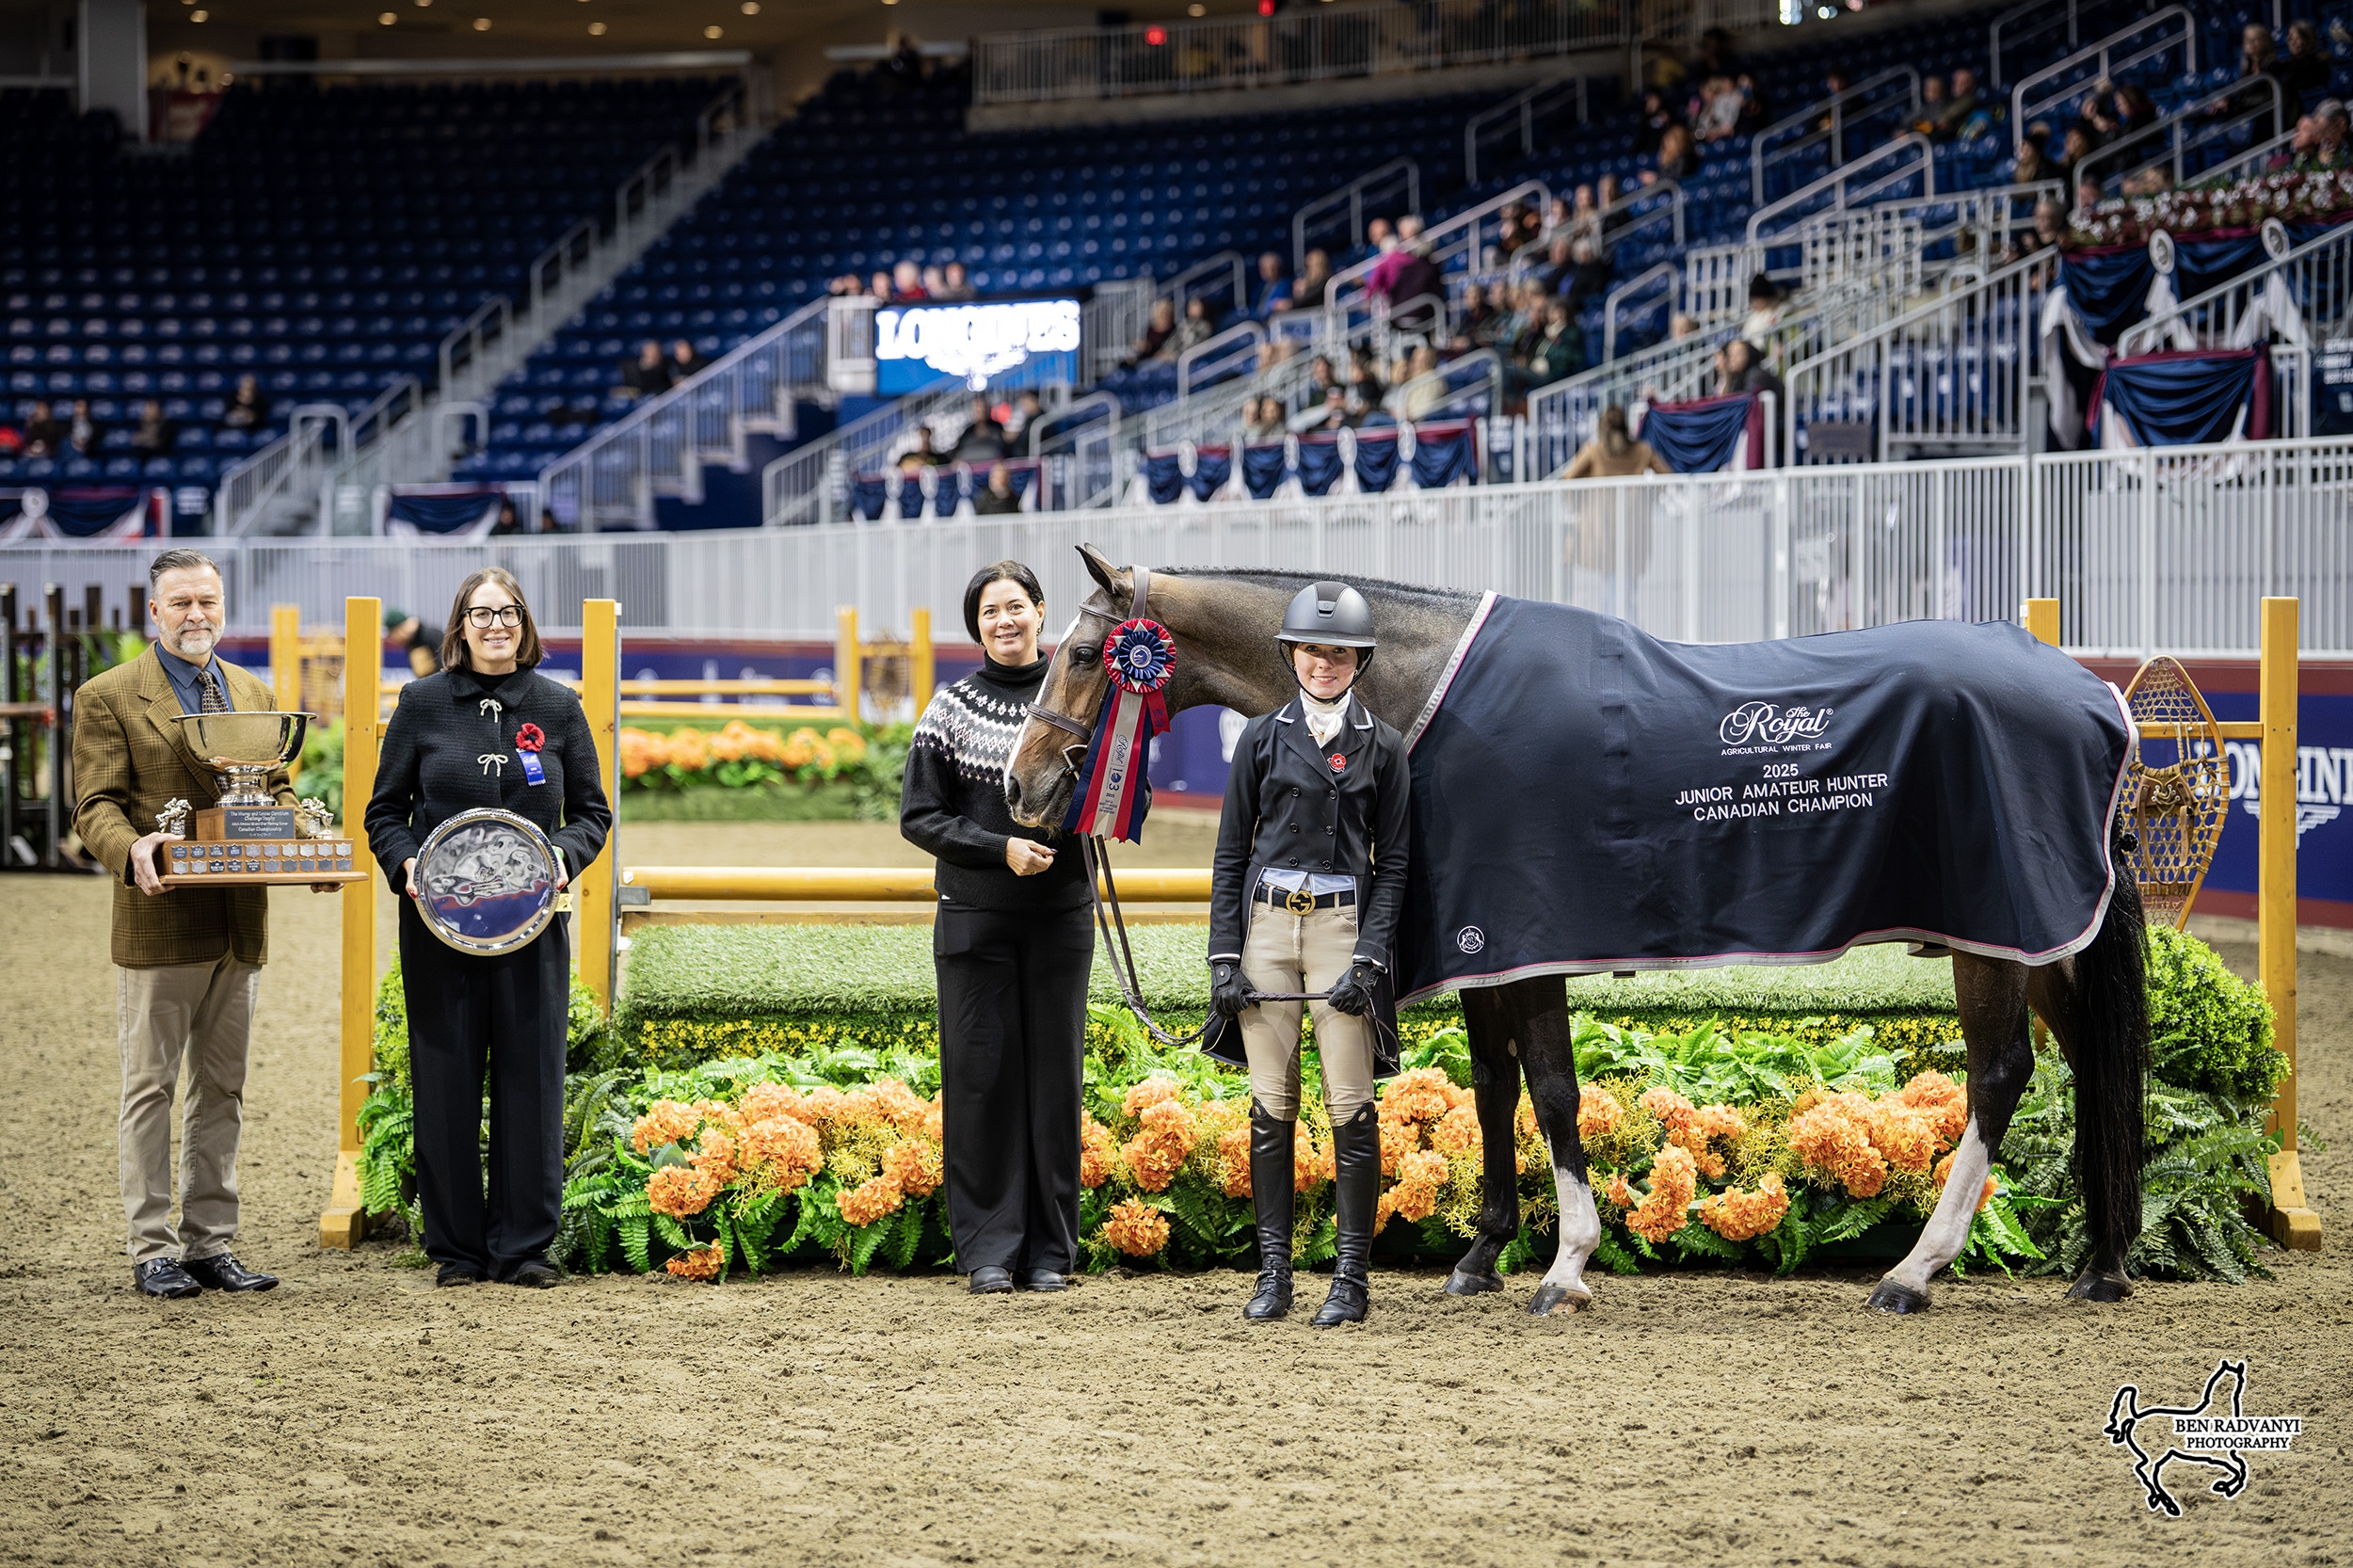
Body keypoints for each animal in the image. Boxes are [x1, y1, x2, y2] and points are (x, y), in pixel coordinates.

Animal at [1005, 547, 2149, 1316]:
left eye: (1081, 652)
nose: (1022, 787)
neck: (1420, 688)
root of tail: (2092, 693)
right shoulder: (1479, 947)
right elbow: (1492, 1086)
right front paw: (1480, 1256)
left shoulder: (1527, 945)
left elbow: (1549, 1089)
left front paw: (1566, 1264)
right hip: (2042, 937)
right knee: (2089, 1057)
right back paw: (2100, 1264)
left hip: (1992, 939)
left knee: (1999, 1075)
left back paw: (1915, 1271)